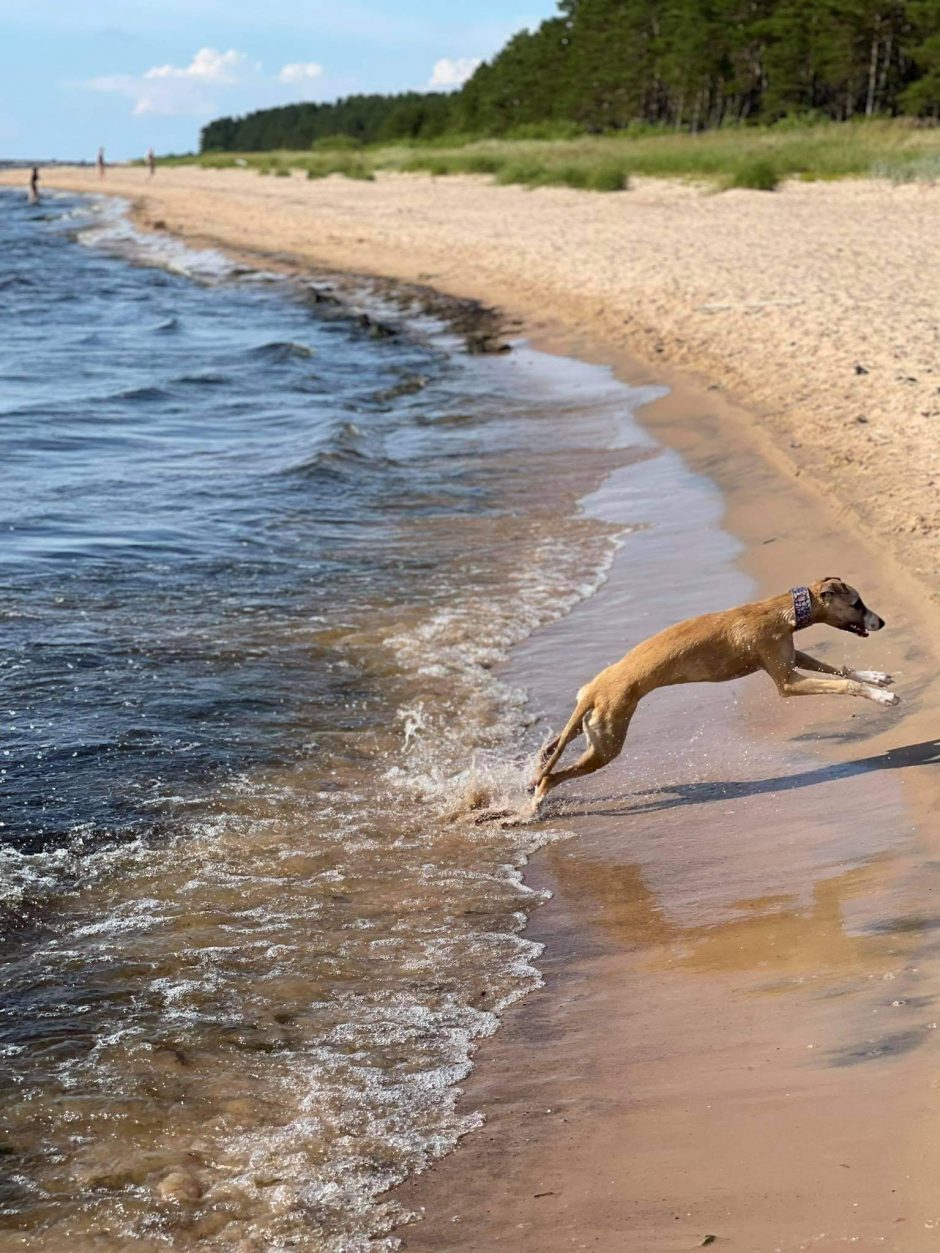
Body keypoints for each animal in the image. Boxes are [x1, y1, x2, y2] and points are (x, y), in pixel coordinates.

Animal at [536, 578, 897, 806]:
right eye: (857, 603)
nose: (882, 622)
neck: (782, 610)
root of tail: (596, 689)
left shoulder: (791, 657)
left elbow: (840, 669)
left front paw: (876, 678)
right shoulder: (788, 683)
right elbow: (843, 683)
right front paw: (881, 697)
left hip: (591, 732)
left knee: (554, 750)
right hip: (607, 745)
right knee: (549, 779)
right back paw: (533, 806)